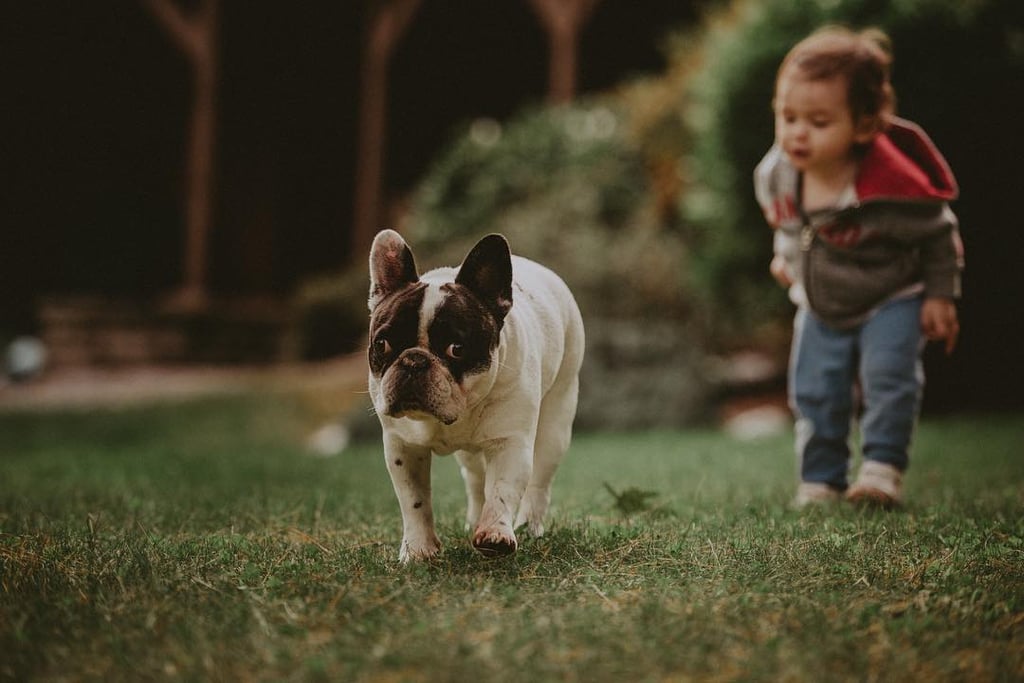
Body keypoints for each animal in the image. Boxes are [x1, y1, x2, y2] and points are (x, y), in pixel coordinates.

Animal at [368, 229, 585, 561]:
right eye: (382, 344)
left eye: (456, 349)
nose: (414, 361)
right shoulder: (403, 447)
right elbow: (414, 500)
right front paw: (418, 550)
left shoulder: (510, 442)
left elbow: (502, 490)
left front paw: (496, 534)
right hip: (470, 456)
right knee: (475, 479)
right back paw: (473, 518)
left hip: (556, 423)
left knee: (539, 481)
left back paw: (528, 526)